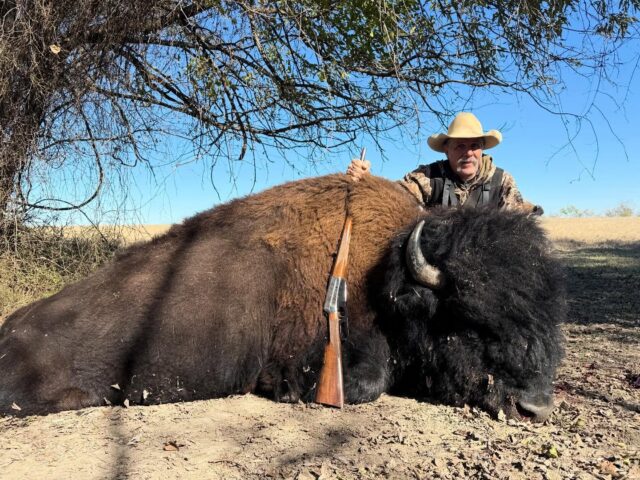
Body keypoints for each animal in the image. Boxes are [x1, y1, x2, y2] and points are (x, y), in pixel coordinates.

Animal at [0, 174, 565, 420]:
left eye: (546, 317)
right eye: (468, 318)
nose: (533, 407)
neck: (385, 273)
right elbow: (365, 381)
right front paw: (291, 393)